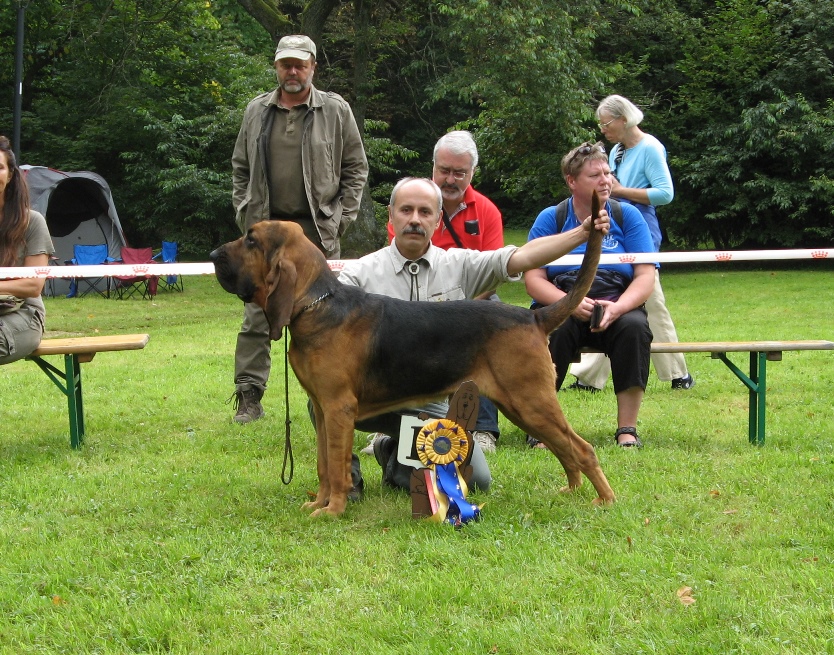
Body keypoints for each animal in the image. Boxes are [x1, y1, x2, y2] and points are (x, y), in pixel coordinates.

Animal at [208, 210, 612, 516]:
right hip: (522, 406)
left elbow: (335, 467)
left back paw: (604, 500)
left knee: (582, 449)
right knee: (565, 449)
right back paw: (572, 491)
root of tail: (533, 317)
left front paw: (333, 510)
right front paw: (320, 504)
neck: (317, 304)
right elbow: (325, 464)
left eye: (251, 240)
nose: (212, 255)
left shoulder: (338, 409)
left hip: (530, 402)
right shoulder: (322, 410)